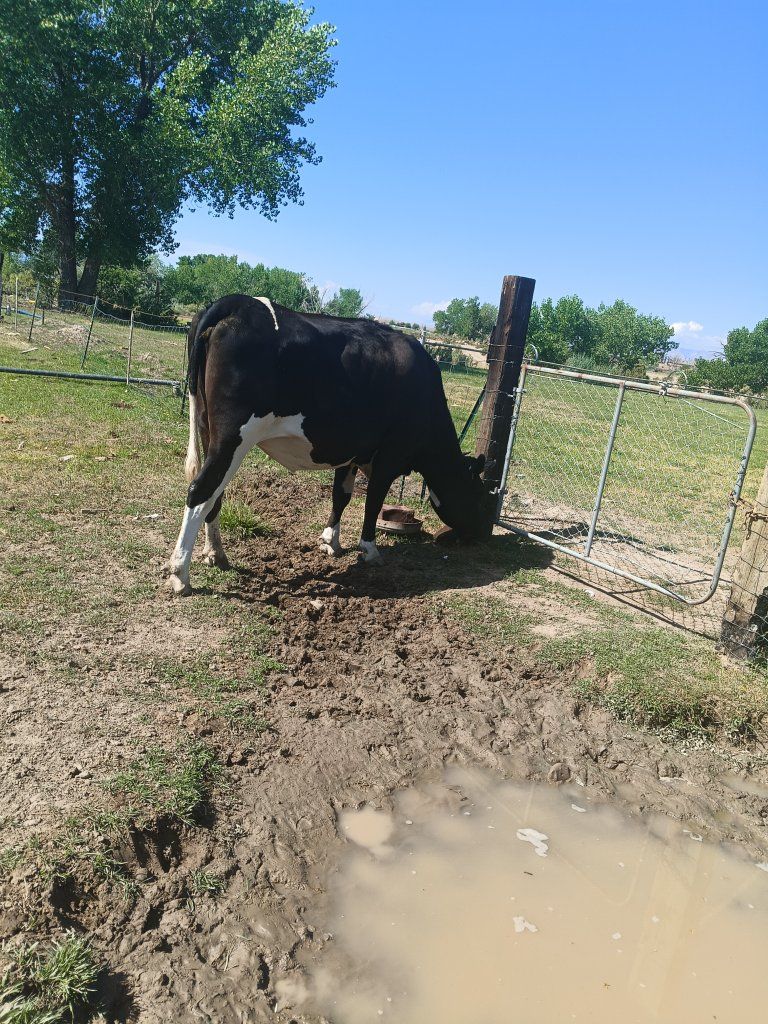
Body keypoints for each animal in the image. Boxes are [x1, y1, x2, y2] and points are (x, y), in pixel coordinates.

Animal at [166, 294, 487, 595]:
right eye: (483, 496)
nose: (482, 534)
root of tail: (237, 302)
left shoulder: (352, 453)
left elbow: (340, 496)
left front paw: (331, 541)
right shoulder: (390, 456)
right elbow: (373, 502)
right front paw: (369, 549)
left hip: (209, 431)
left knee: (213, 494)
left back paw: (216, 554)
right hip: (234, 437)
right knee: (201, 491)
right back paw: (181, 575)